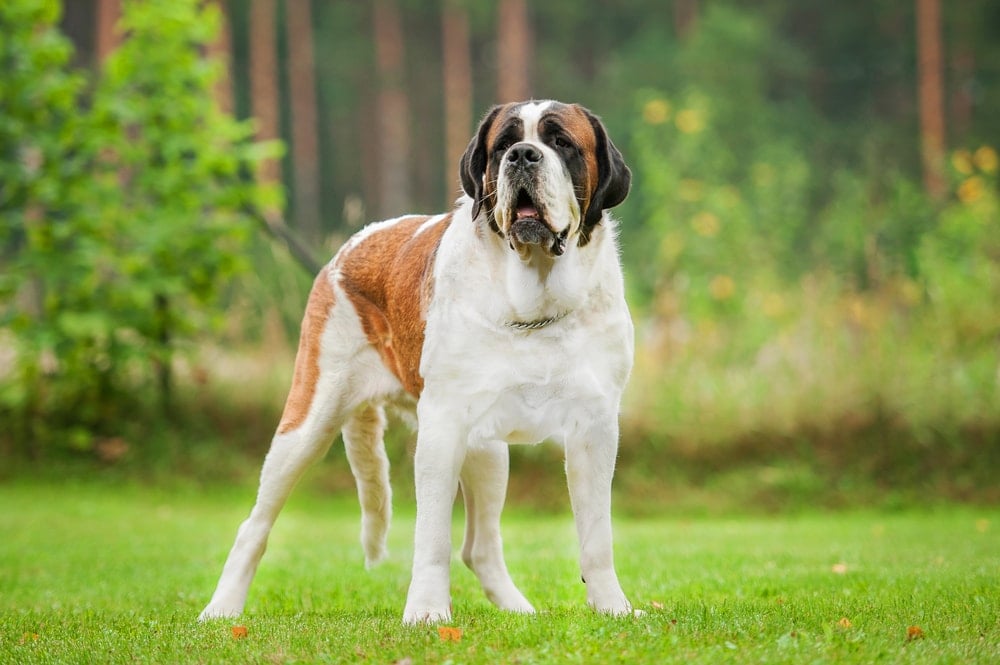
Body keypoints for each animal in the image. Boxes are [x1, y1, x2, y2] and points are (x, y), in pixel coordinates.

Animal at [200, 100, 636, 624]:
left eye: (562, 143)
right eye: (503, 145)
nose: (523, 156)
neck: (533, 301)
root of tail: (350, 246)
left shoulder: (595, 427)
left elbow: (597, 535)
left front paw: (613, 608)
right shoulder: (443, 427)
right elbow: (432, 536)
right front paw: (427, 612)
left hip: (488, 451)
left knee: (480, 547)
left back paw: (518, 610)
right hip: (306, 425)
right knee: (255, 524)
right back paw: (221, 609)